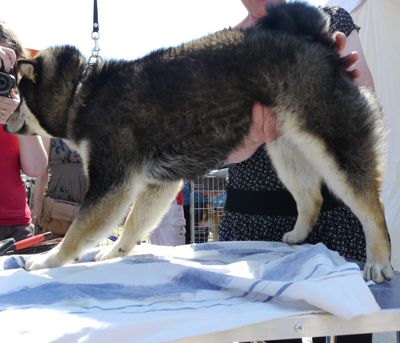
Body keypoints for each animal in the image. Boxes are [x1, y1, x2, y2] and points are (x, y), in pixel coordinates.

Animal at [7, 2, 394, 282]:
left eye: (19, 96)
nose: (7, 123)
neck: (81, 92)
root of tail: (316, 39)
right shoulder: (158, 184)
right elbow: (133, 225)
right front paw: (115, 253)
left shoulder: (110, 184)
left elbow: (77, 232)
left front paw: (48, 260)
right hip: (286, 149)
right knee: (311, 198)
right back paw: (298, 236)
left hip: (333, 149)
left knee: (371, 207)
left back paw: (378, 260)